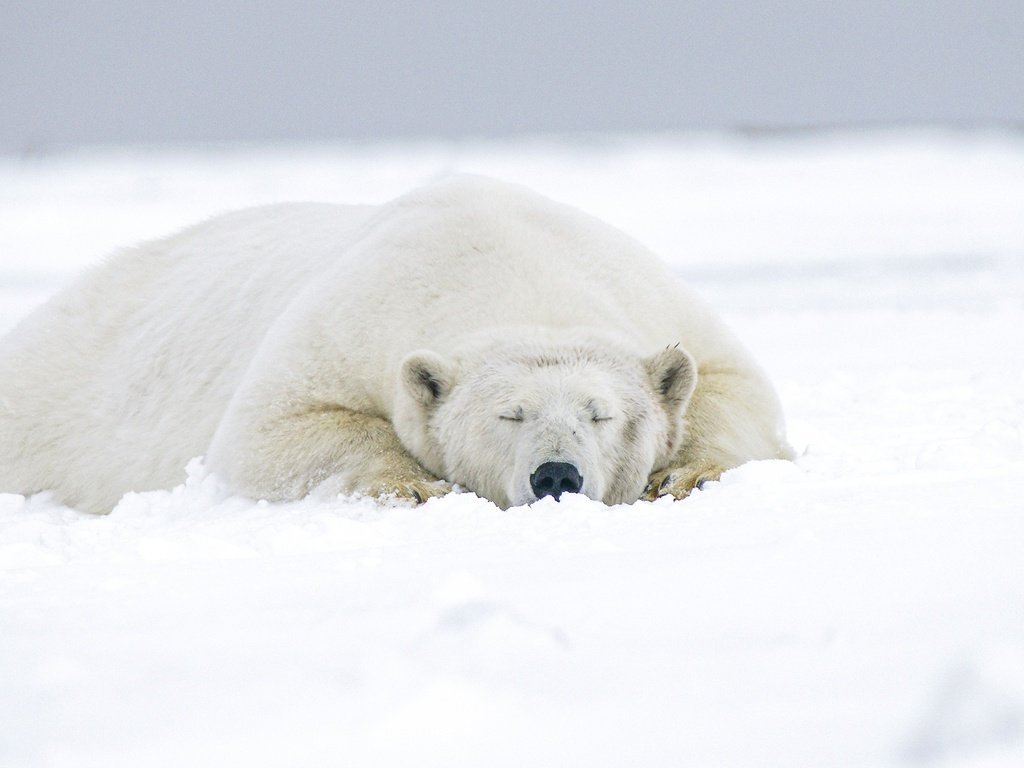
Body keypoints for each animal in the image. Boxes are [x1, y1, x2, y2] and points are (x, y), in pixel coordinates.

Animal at [0, 174, 790, 512]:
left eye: (602, 414)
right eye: (509, 415)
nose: (557, 477)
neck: (510, 266)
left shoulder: (646, 291)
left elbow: (733, 390)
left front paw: (686, 475)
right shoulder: (352, 318)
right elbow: (268, 433)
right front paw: (411, 482)